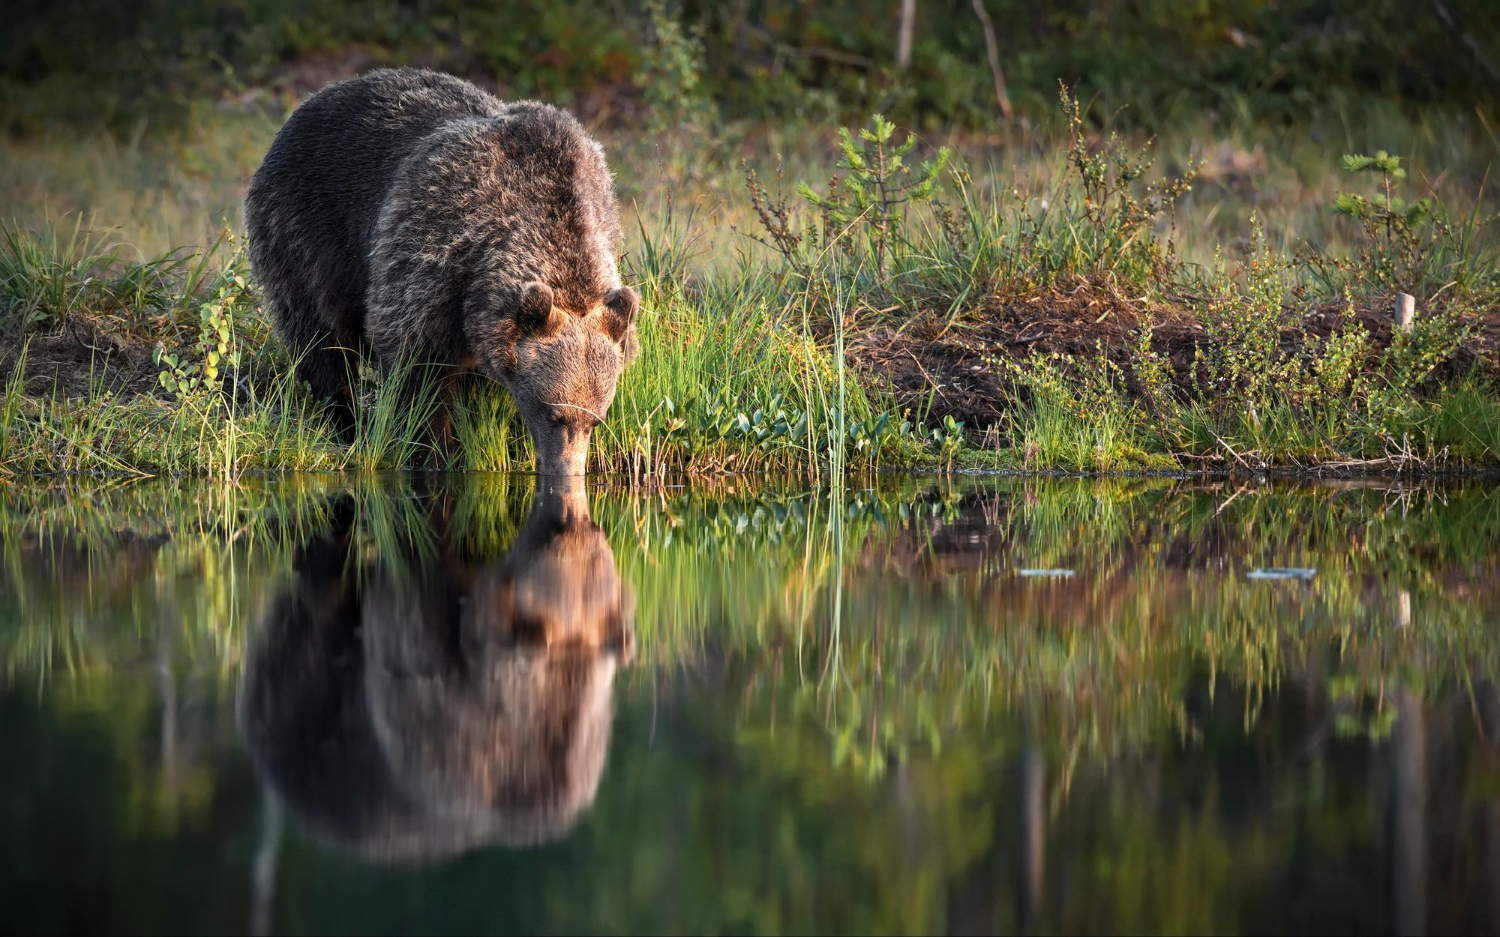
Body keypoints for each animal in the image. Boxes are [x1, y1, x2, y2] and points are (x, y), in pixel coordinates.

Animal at [245, 68, 638, 475]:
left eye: (596, 419)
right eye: (553, 413)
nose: (566, 470)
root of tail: (313, 98)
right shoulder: (434, 250)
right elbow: (417, 366)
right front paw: (434, 448)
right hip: (304, 232)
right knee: (319, 339)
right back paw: (343, 419)